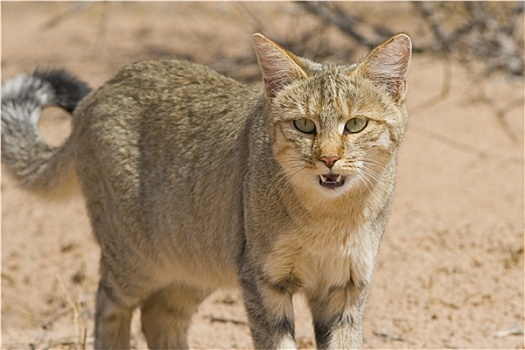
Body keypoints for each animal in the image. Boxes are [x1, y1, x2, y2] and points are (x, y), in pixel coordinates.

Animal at [1, 32, 410, 348]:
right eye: (304, 126)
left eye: (355, 124)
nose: (328, 159)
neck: (329, 217)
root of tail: (101, 90)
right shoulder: (263, 279)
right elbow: (277, 342)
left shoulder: (346, 287)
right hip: (134, 260)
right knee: (108, 306)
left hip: (197, 260)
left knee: (158, 315)